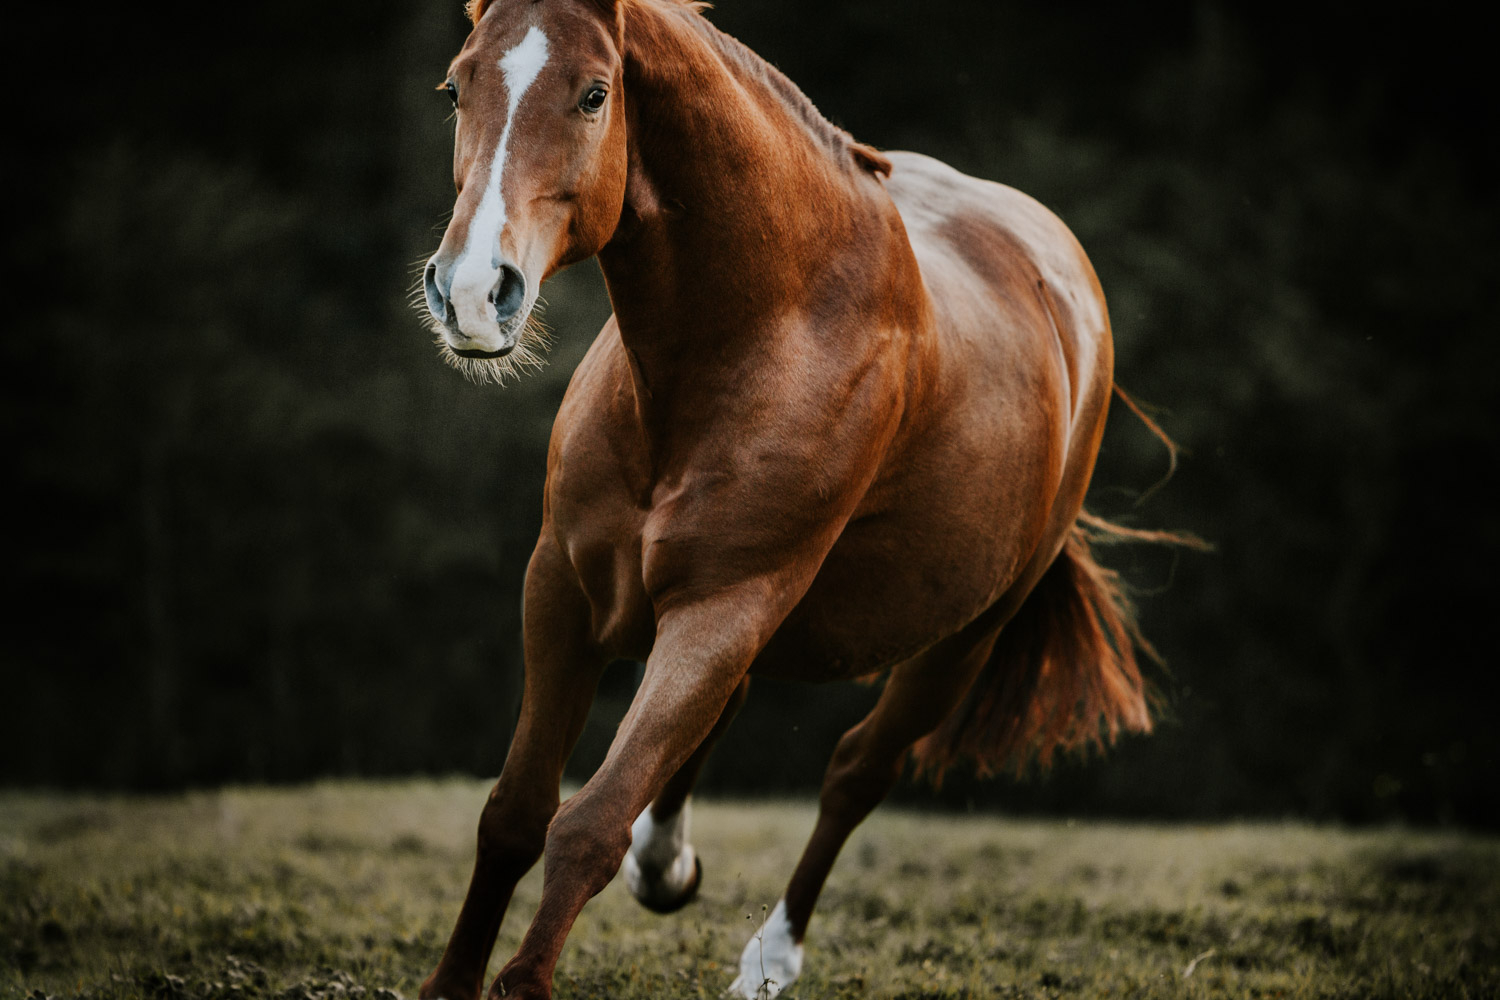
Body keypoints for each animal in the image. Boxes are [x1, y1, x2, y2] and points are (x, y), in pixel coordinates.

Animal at [417, 1, 1164, 995]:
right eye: (456, 87)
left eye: (594, 94)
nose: (470, 294)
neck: (757, 332)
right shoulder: (563, 589)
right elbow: (512, 813)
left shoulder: (723, 607)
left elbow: (587, 825)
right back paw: (668, 865)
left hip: (962, 639)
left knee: (857, 772)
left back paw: (770, 957)